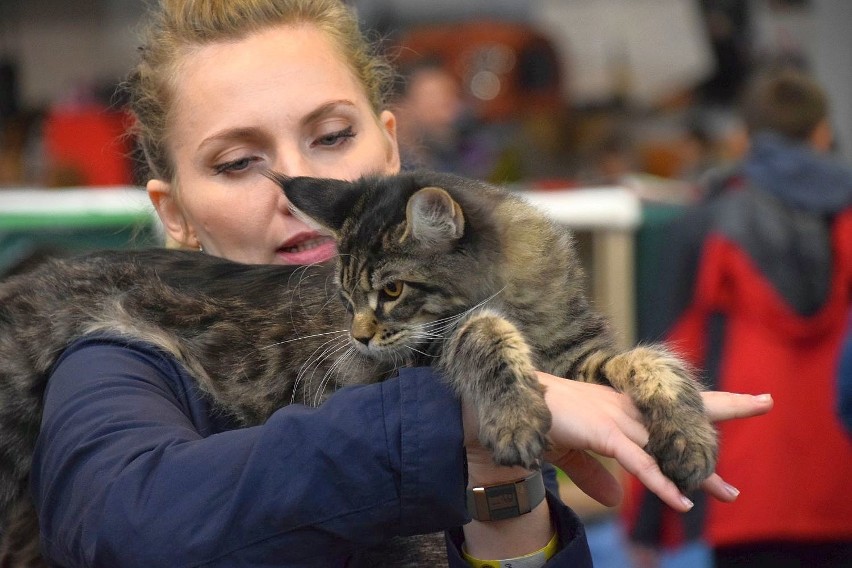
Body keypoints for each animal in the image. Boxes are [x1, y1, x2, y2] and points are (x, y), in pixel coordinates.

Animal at [0, 171, 720, 564]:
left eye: (392, 290)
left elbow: (651, 360)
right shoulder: (414, 357)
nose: (360, 335)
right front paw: (515, 414)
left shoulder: (577, 351)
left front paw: (688, 435)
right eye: (346, 296)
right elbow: (481, 332)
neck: (524, 304)